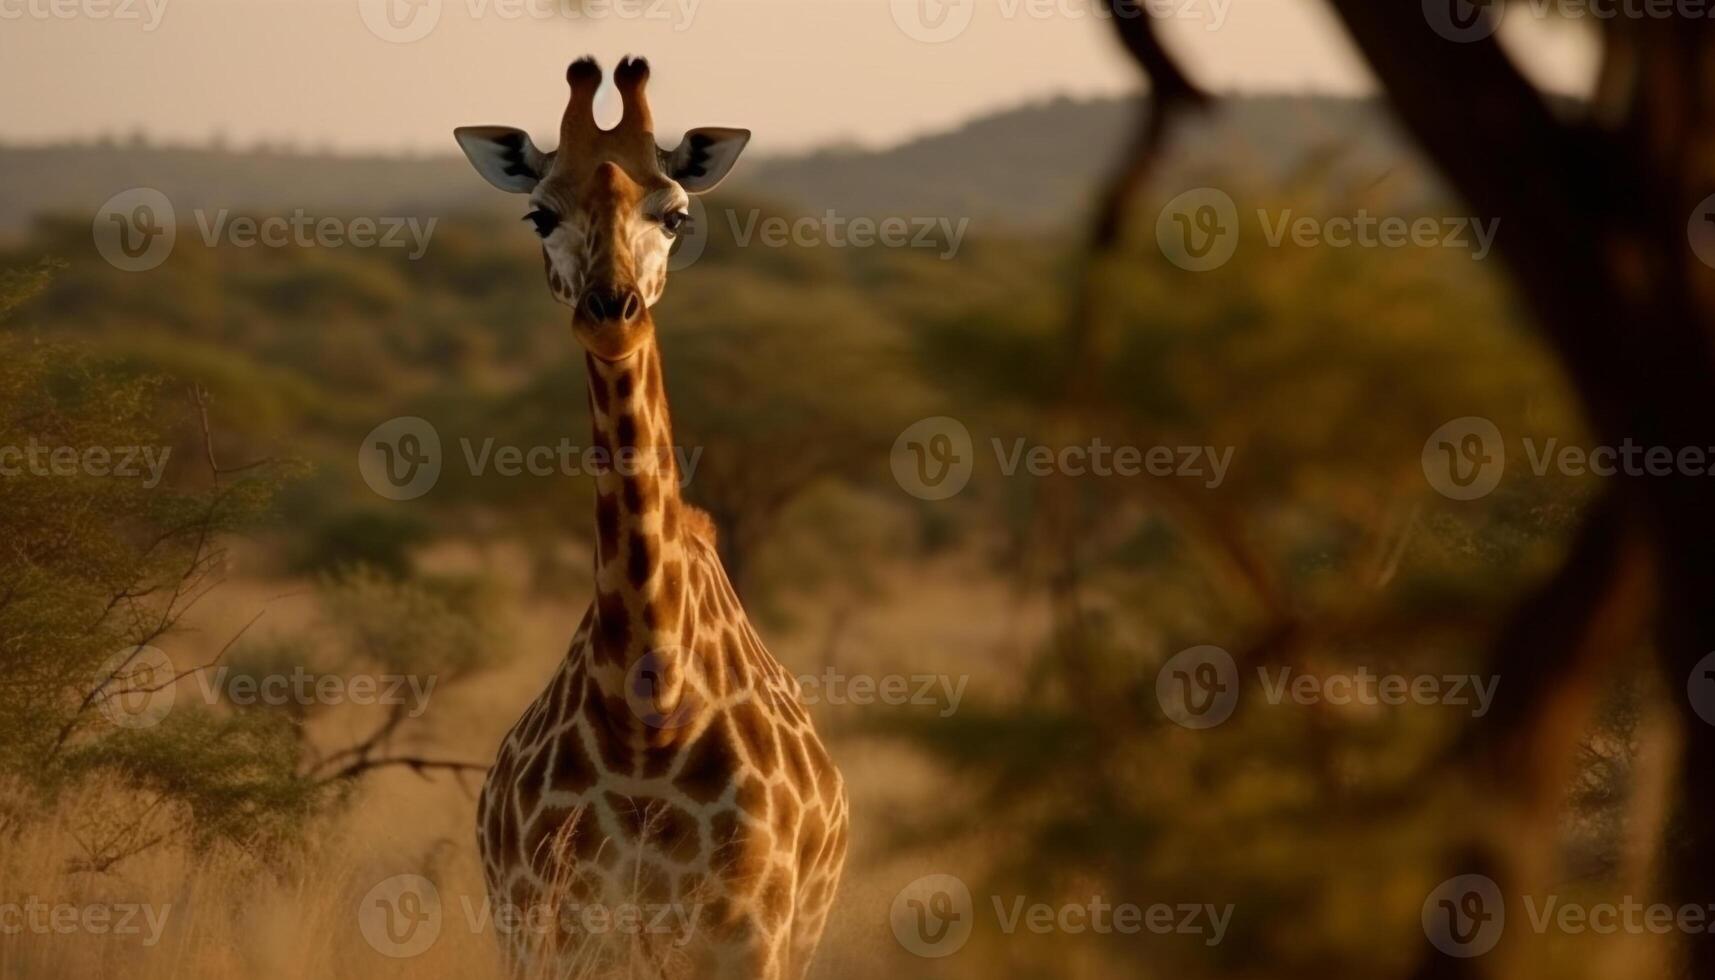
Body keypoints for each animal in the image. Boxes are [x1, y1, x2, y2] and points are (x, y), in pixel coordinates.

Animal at [452, 57, 847, 974]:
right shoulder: (549, 931)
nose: (610, 312)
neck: (648, 711)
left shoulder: (749, 936)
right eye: (540, 213)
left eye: (675, 214)